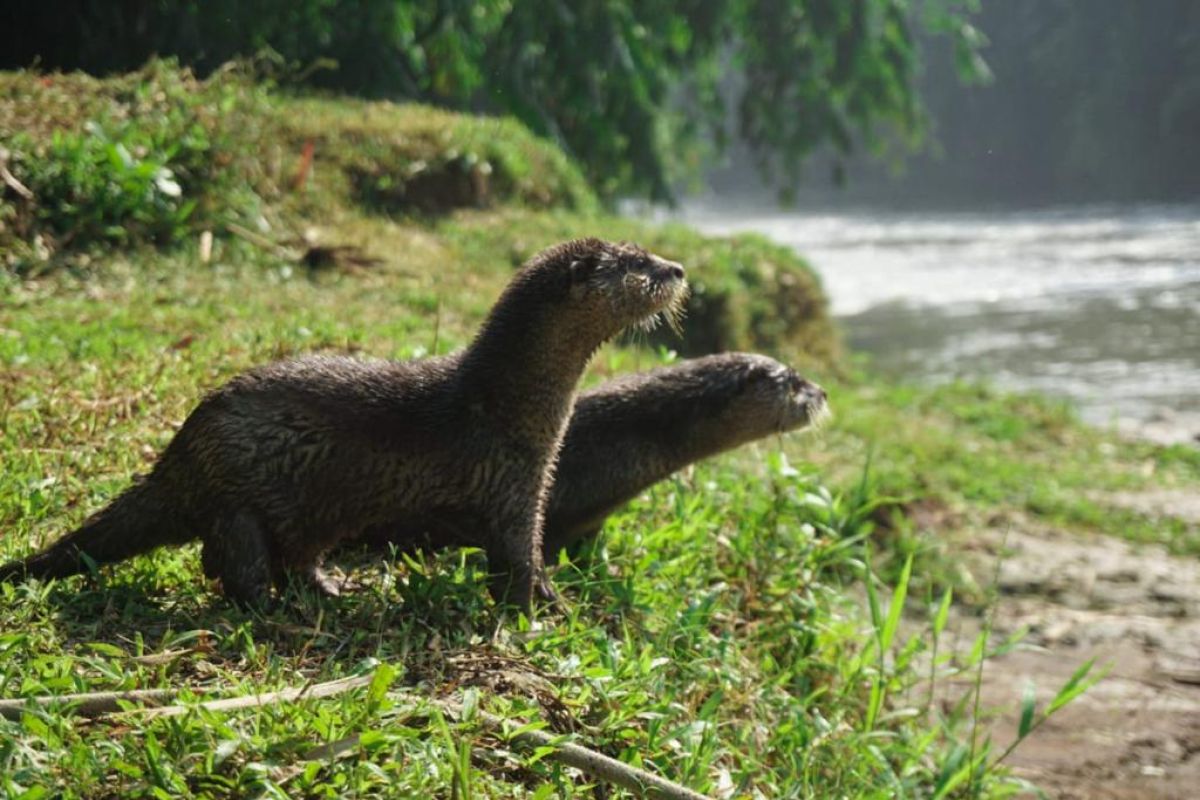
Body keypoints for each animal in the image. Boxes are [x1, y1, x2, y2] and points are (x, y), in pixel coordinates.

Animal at [0, 241, 691, 609]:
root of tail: (178, 455)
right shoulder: (511, 489)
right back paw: (268, 604)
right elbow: (519, 562)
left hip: (311, 514)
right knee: (230, 557)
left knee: (293, 555)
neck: (506, 409)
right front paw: (549, 606)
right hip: (239, 493)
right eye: (640, 263)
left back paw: (330, 588)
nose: (681, 269)